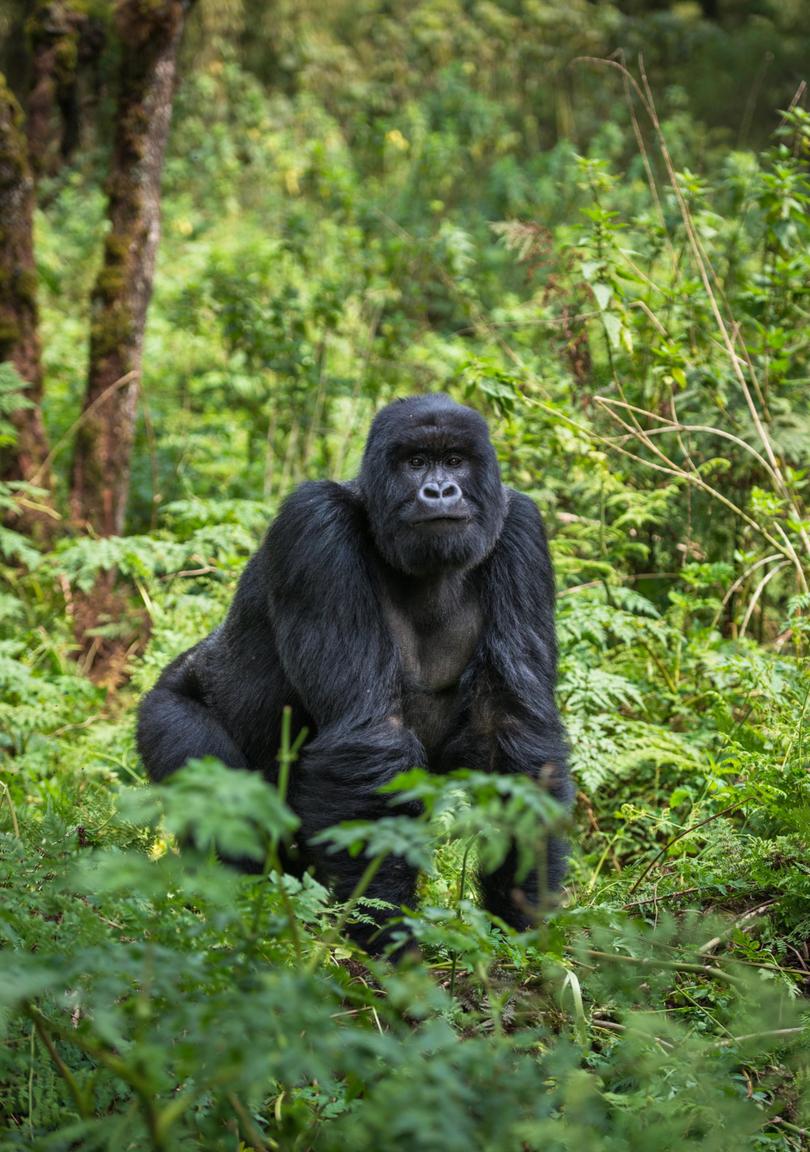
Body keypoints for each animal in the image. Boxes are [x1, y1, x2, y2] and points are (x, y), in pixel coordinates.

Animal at [137, 391, 571, 949]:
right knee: (203, 765)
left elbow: (514, 734)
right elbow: (369, 736)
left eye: (455, 460)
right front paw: (390, 938)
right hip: (162, 708)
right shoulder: (314, 525)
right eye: (415, 463)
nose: (440, 490)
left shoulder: (521, 532)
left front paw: (516, 920)